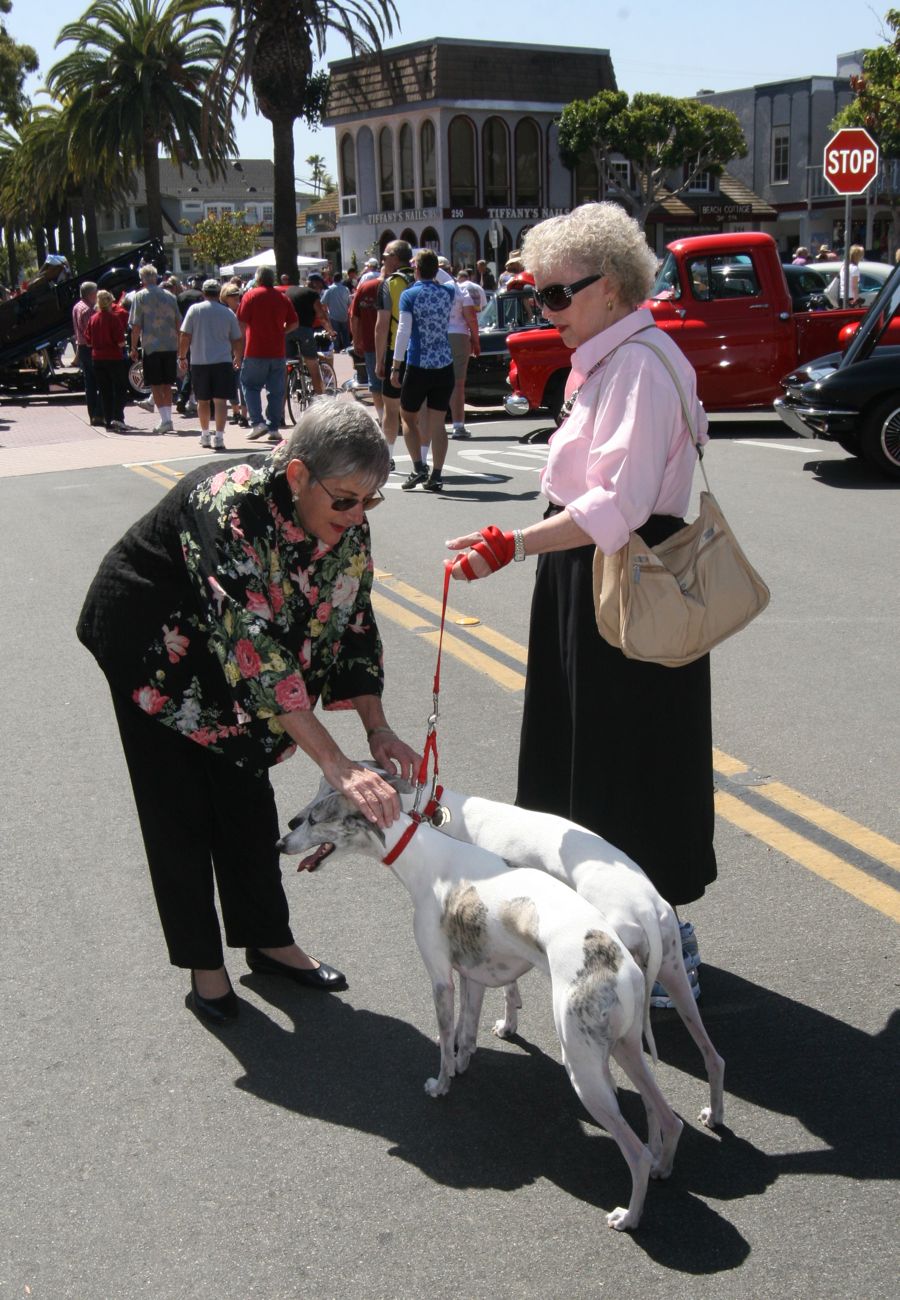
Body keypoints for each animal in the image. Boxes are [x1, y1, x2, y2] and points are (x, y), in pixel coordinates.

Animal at [426, 780, 723, 1128]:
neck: (448, 815)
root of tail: (646, 907)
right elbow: (508, 988)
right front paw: (507, 1024)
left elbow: (478, 1003)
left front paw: (458, 1047)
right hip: (675, 975)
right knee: (713, 1055)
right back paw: (714, 1114)